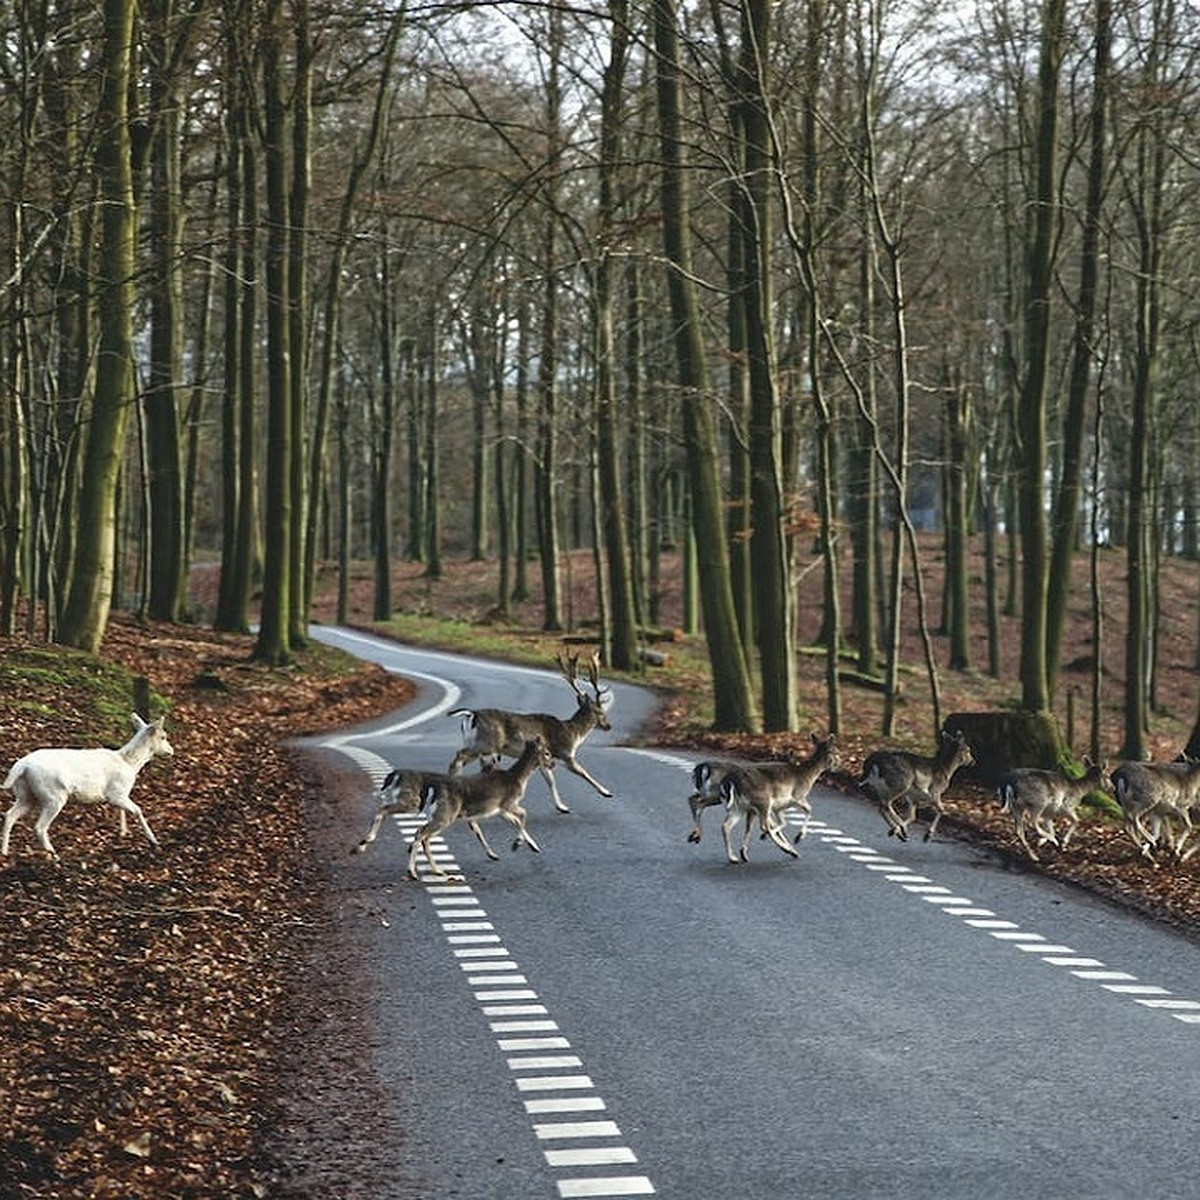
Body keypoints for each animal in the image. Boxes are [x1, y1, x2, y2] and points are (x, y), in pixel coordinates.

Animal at [451, 657, 619, 816]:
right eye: (601, 712)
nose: (608, 726)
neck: (573, 733)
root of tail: (472, 714)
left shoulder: (545, 757)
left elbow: (551, 781)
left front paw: (562, 807)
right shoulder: (565, 753)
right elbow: (583, 772)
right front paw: (606, 792)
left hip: (473, 742)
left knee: (460, 757)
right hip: (486, 742)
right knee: (460, 755)